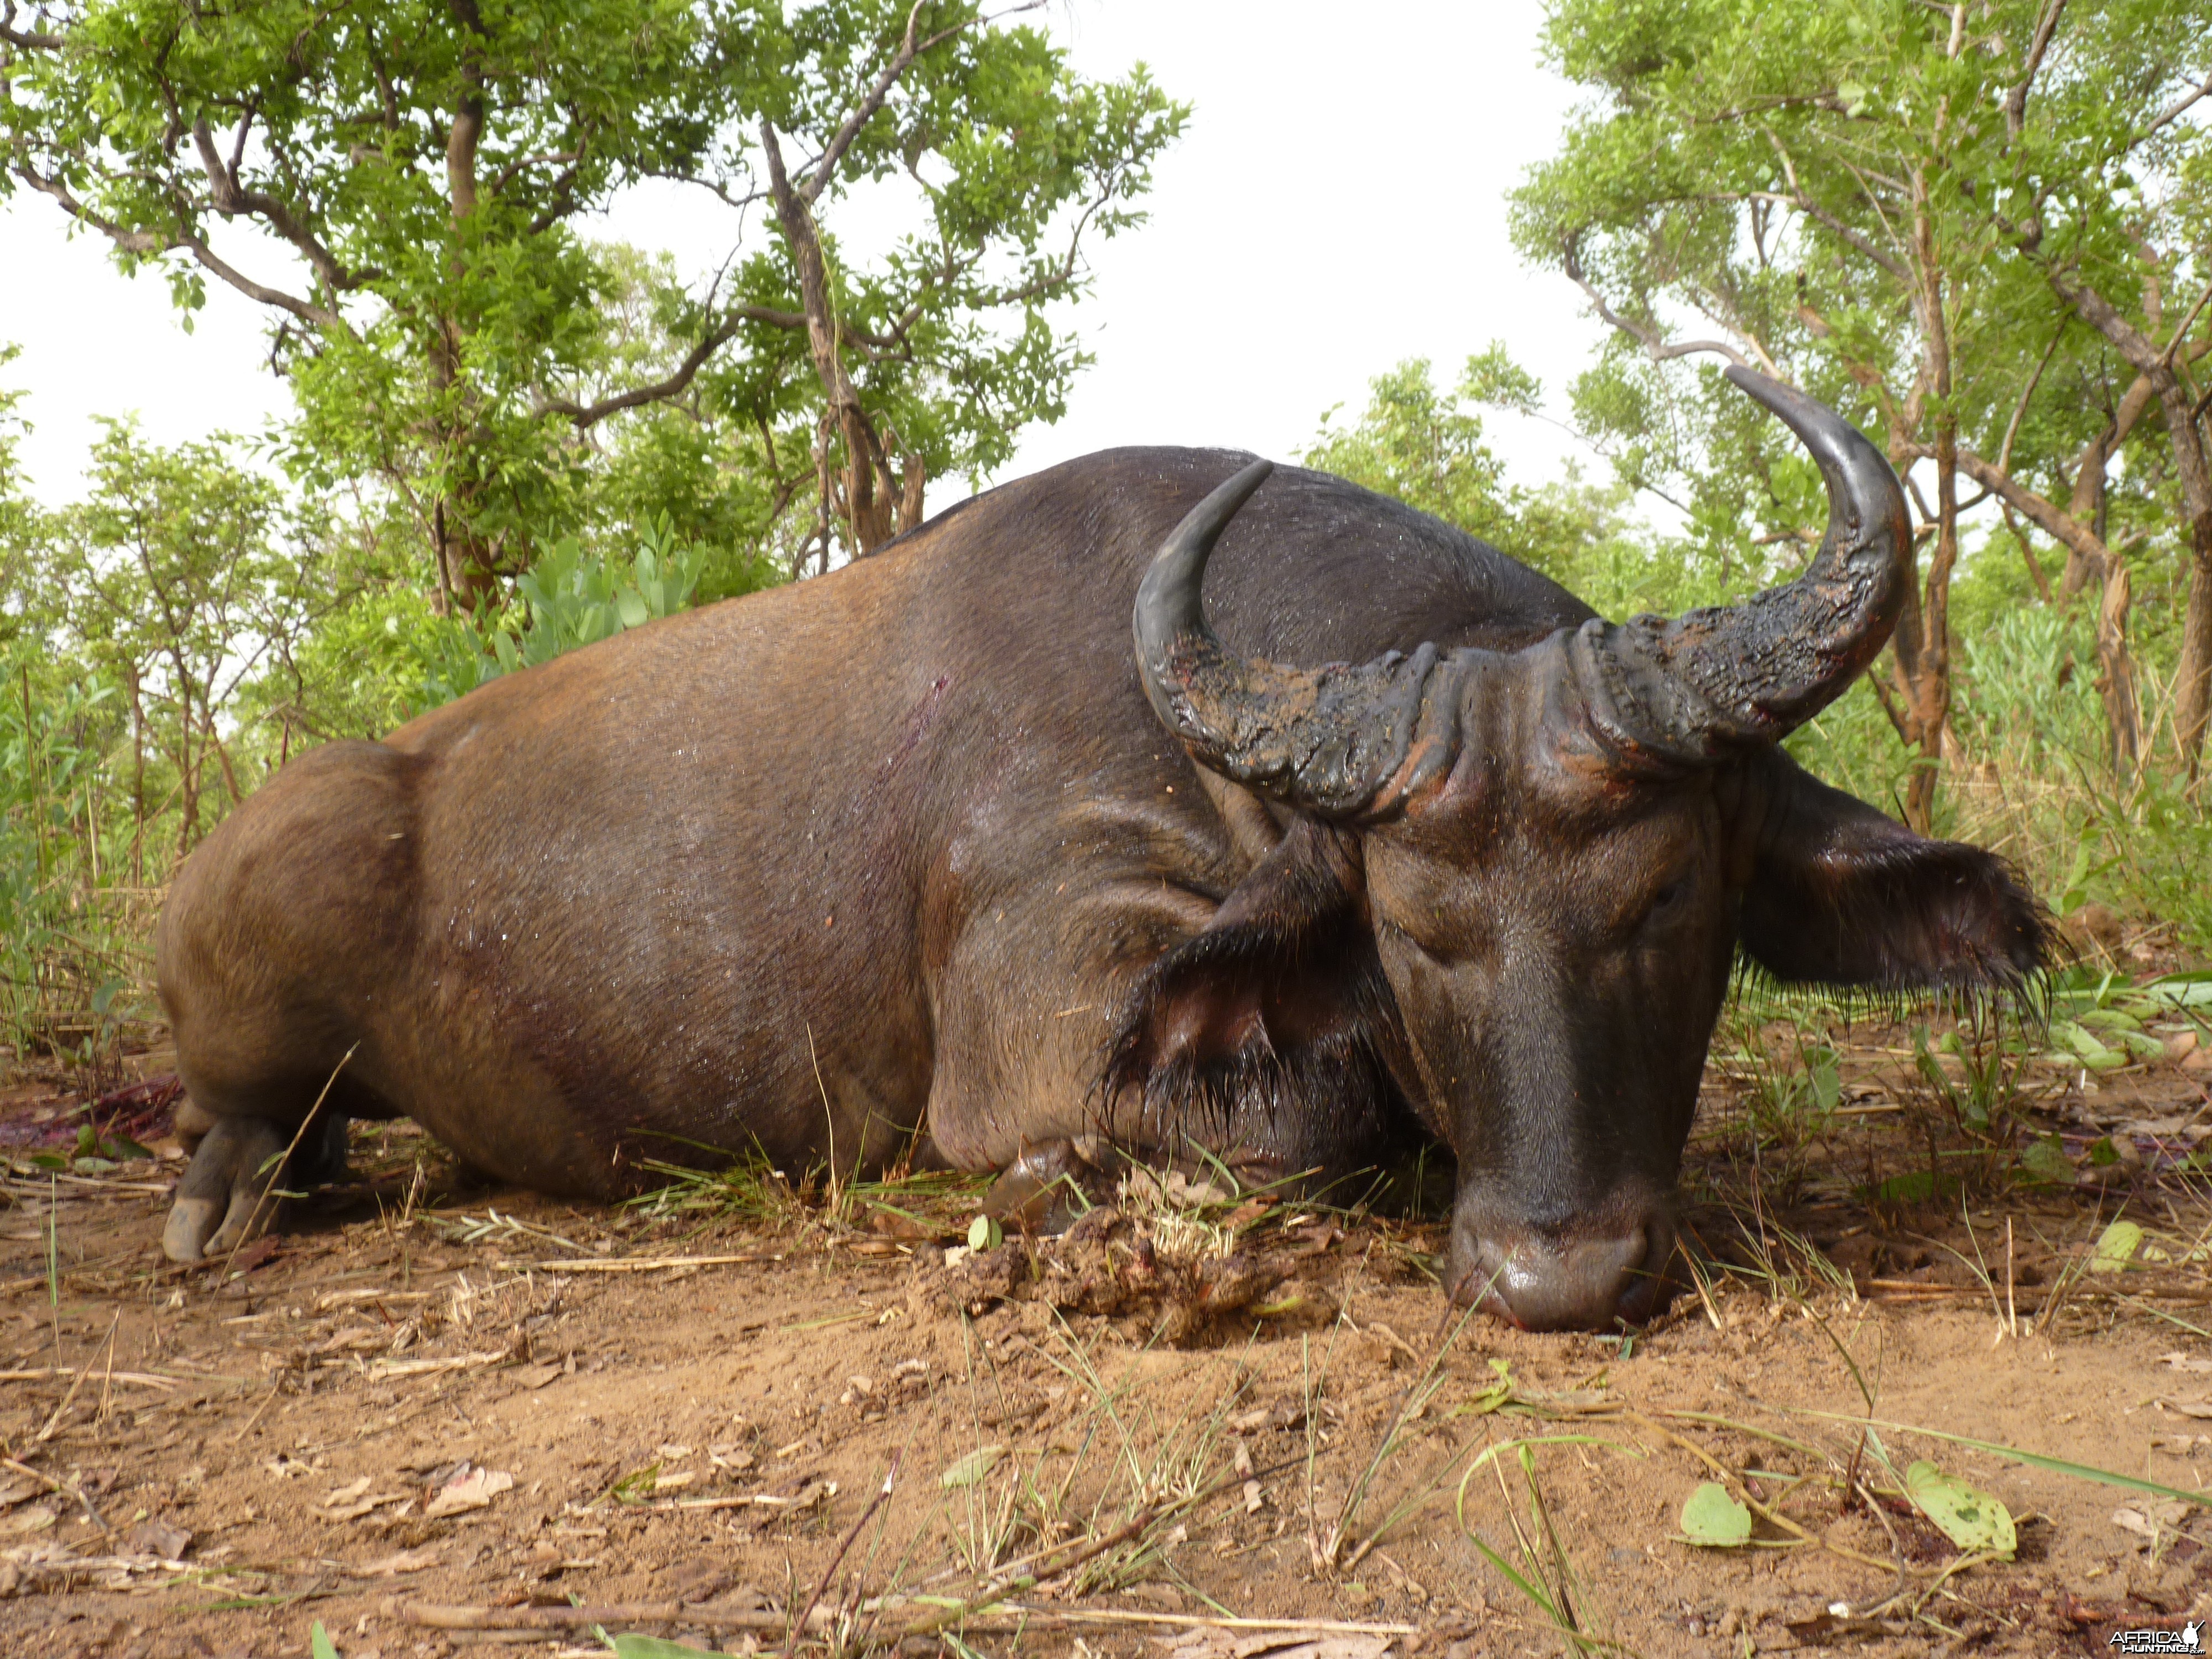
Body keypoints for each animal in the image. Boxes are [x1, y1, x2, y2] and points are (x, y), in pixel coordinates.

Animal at [156, 369, 2044, 1336]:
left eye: (1668, 900)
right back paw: (222, 1200)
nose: (1554, 1272)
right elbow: (1297, 1114)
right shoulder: (1054, 1010)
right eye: (1411, 929)